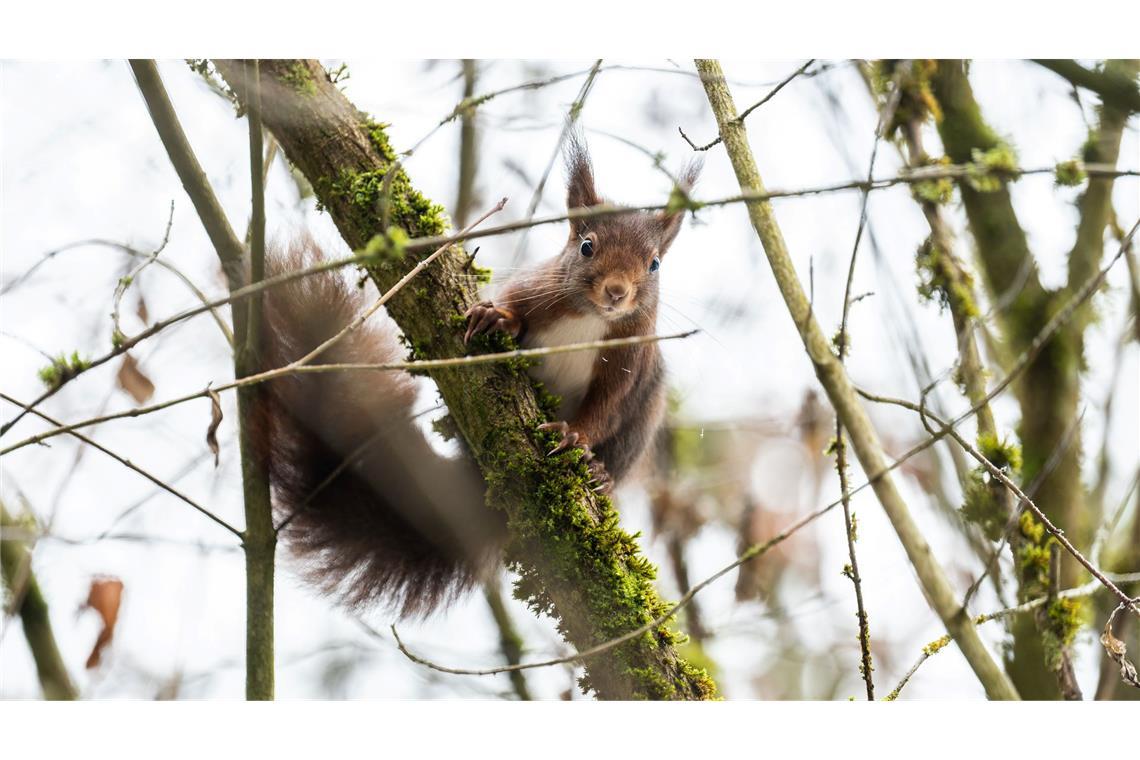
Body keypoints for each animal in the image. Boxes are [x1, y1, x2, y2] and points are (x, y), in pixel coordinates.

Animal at [254, 135, 699, 616]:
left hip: (644, 418)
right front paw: (496, 316)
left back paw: (600, 475)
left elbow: (605, 408)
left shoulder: (628, 362)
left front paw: (574, 437)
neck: (591, 319)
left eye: (654, 264)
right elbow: (515, 308)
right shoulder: (535, 289)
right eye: (586, 246)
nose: (616, 292)